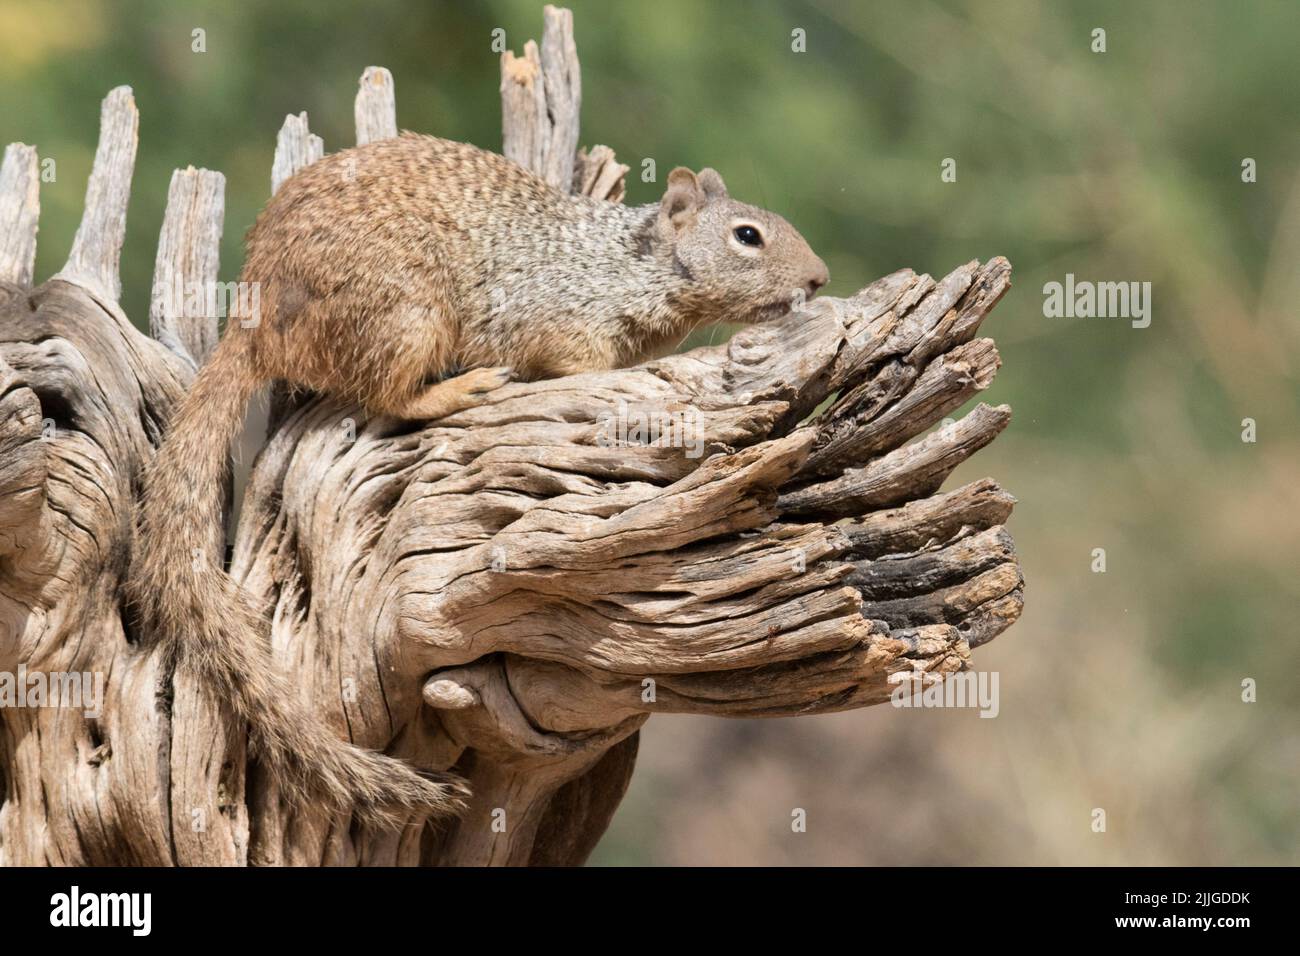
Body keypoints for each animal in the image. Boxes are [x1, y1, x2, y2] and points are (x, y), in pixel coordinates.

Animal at [130, 132, 829, 824]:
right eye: (747, 236)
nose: (820, 278)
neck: (627, 263)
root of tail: (253, 320)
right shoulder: (563, 320)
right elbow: (573, 361)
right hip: (405, 316)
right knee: (390, 394)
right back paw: (462, 387)